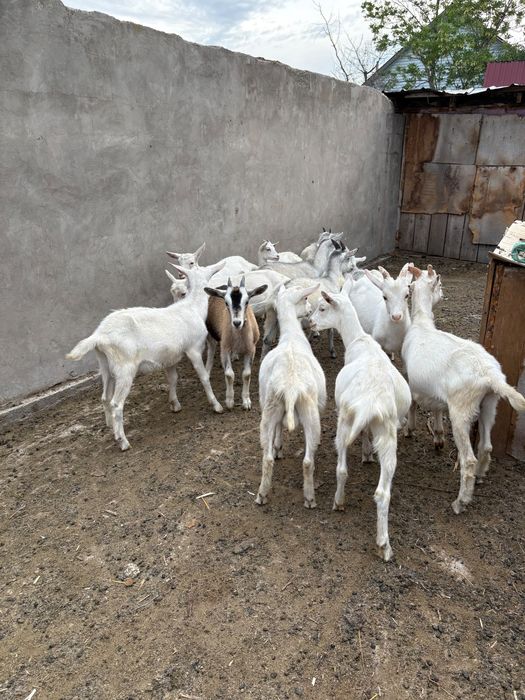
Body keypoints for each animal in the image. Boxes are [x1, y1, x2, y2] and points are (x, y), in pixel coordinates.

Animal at [66, 263, 225, 450]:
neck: (192, 307)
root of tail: (99, 336)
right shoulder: (193, 349)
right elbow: (204, 377)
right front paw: (216, 405)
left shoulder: (170, 357)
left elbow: (173, 379)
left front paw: (175, 404)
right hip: (125, 368)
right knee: (116, 404)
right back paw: (123, 441)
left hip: (105, 365)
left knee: (105, 397)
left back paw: (112, 428)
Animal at [204, 277, 268, 410]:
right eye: (226, 303)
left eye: (247, 301)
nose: (237, 322)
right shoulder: (225, 349)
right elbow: (229, 374)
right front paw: (229, 401)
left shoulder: (251, 349)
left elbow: (247, 374)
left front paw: (246, 401)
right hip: (211, 336)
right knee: (211, 351)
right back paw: (207, 371)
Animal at [256, 284, 326, 509]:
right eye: (304, 298)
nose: (309, 310)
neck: (291, 337)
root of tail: (291, 388)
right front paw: (279, 446)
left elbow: (279, 427)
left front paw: (278, 447)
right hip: (310, 412)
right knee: (307, 462)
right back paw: (310, 497)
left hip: (269, 407)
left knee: (267, 458)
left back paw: (262, 494)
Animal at [309, 280, 411, 561]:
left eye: (322, 307)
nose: (310, 323)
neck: (357, 339)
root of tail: (370, 402)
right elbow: (366, 433)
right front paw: (367, 454)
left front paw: (365, 453)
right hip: (387, 432)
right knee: (382, 492)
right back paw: (384, 544)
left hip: (344, 420)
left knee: (342, 469)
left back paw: (338, 502)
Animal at [402, 264, 525, 514]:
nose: (444, 293)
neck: (422, 326)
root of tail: (490, 375)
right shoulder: (437, 393)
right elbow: (436, 409)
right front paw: (438, 436)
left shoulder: (411, 380)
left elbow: (413, 404)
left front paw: (409, 430)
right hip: (489, 404)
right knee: (486, 446)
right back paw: (480, 477)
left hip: (461, 410)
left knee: (468, 459)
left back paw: (460, 502)